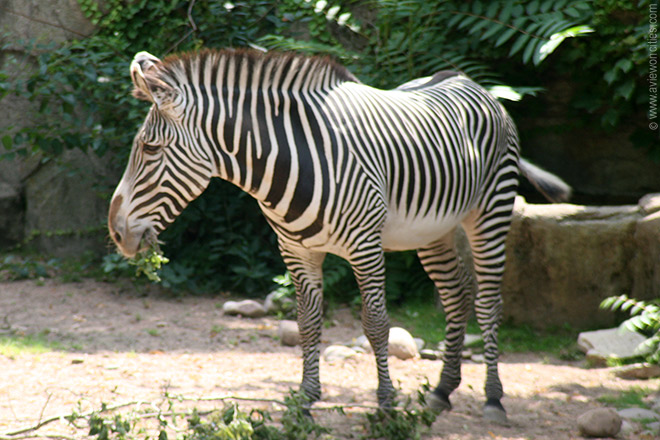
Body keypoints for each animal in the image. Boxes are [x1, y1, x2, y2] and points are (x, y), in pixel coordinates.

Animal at [108, 48, 571, 423]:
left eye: (150, 149)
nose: (116, 231)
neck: (288, 163)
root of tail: (469, 81)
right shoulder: (296, 250)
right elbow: (308, 323)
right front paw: (305, 401)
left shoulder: (366, 247)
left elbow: (377, 324)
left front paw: (385, 404)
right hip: (433, 230)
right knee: (457, 295)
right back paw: (442, 390)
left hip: (489, 212)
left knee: (489, 302)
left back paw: (493, 398)